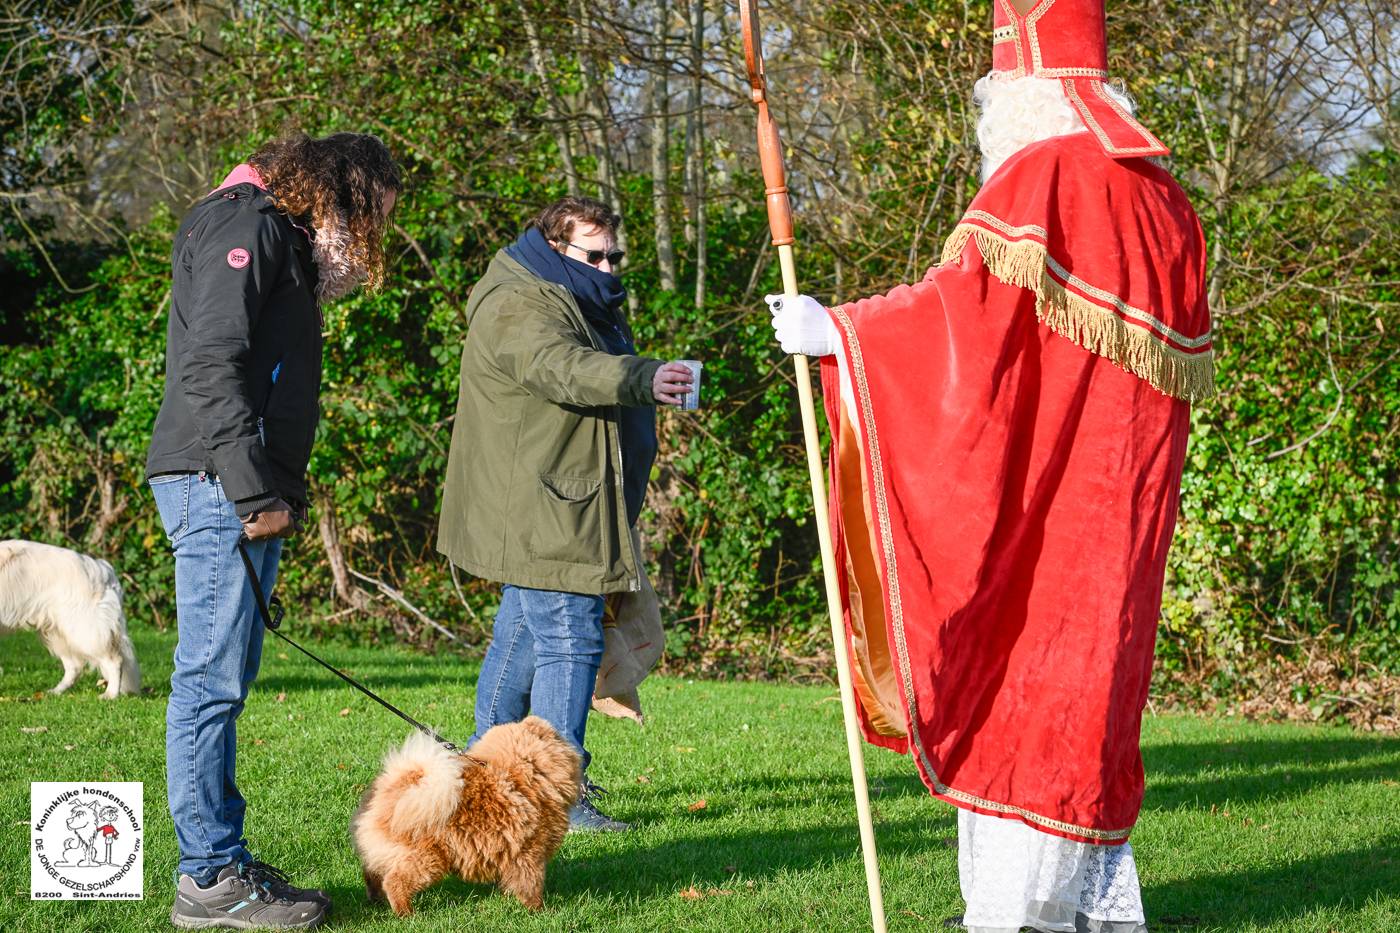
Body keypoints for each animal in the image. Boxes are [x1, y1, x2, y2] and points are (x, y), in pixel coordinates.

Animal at [0, 537, 140, 697]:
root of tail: (103, 569)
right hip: (58, 632)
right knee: (75, 667)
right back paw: (56, 692)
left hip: (83, 631)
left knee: (115, 660)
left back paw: (110, 695)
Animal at [361, 714, 585, 913]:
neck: (523, 780)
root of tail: (391, 792)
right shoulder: (530, 853)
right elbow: (531, 884)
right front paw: (539, 910)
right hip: (426, 859)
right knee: (395, 882)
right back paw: (405, 912)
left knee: (373, 875)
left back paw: (377, 899)